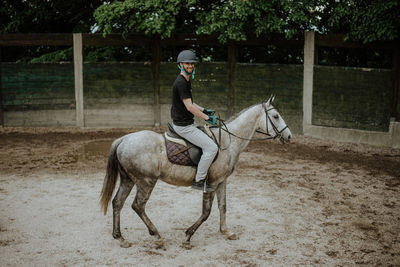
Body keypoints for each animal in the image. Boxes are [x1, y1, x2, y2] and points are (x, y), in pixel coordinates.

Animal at [98, 96, 292, 249]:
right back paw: (157, 236)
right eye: (276, 116)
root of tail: (124, 139)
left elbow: (223, 206)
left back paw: (121, 238)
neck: (228, 140)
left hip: (128, 180)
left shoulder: (222, 181)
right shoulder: (211, 183)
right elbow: (206, 212)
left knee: (117, 203)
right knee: (138, 206)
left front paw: (226, 232)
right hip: (146, 181)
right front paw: (188, 236)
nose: (289, 136)